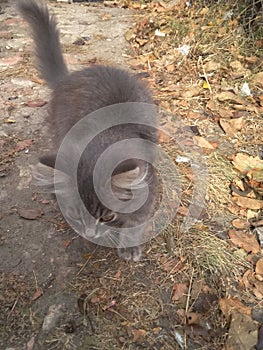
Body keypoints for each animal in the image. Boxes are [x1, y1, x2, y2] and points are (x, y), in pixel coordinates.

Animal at [18, 0, 159, 262]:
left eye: (107, 216)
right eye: (76, 213)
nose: (90, 233)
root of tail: (70, 77)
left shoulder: (147, 193)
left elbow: (134, 224)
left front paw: (129, 246)